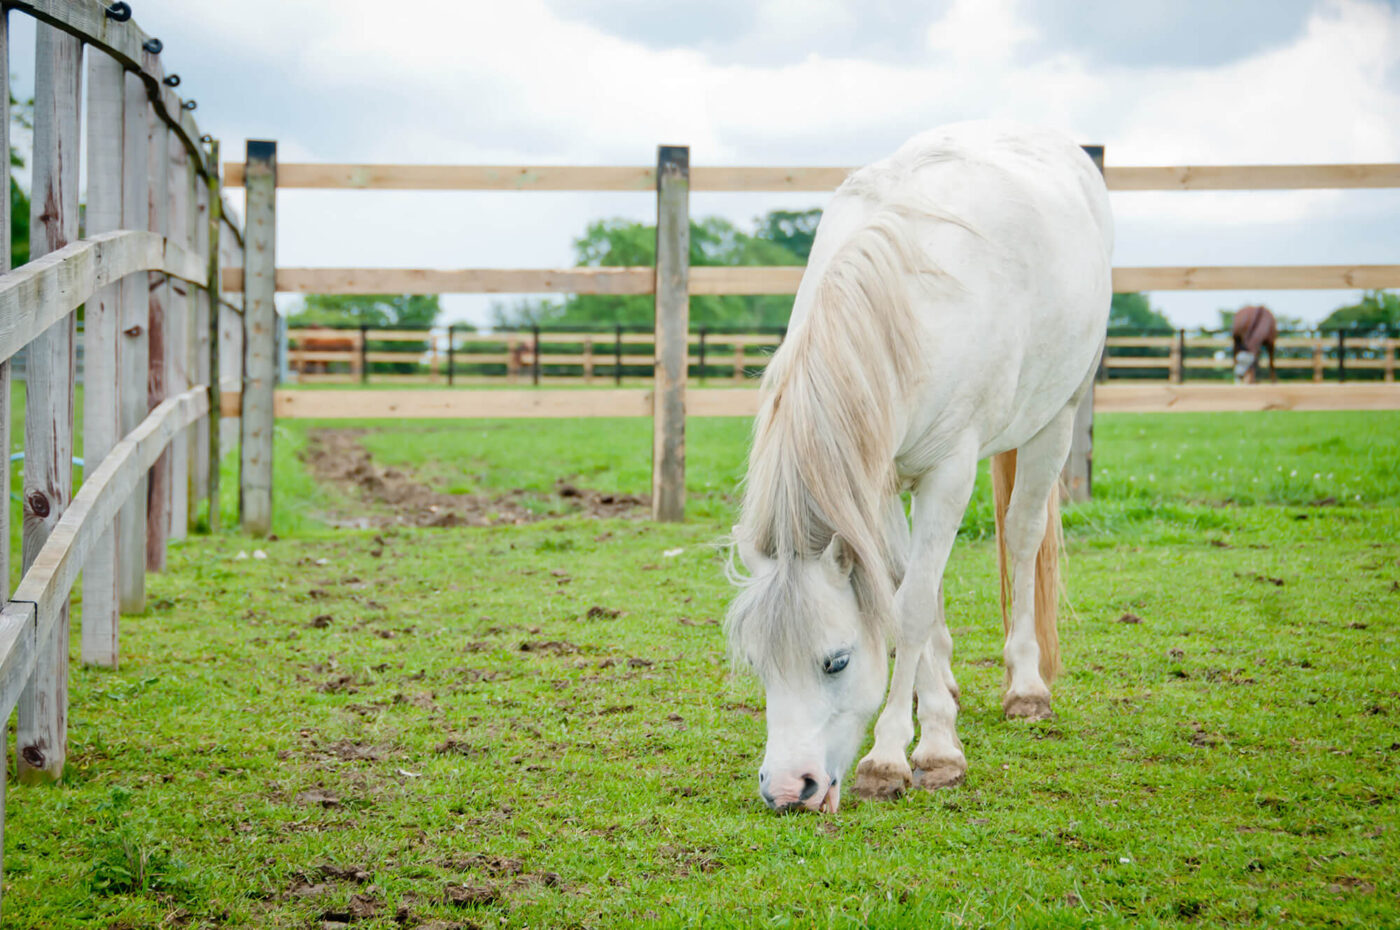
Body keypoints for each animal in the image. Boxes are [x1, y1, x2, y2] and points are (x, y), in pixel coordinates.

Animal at [728, 121, 1108, 812]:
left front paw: (899, 757)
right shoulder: (875, 483)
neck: (902, 307)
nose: (789, 790)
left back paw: (1026, 687)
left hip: (1057, 420)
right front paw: (934, 725)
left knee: (1022, 536)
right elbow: (912, 594)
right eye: (760, 666)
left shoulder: (950, 471)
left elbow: (909, 607)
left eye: (837, 661)